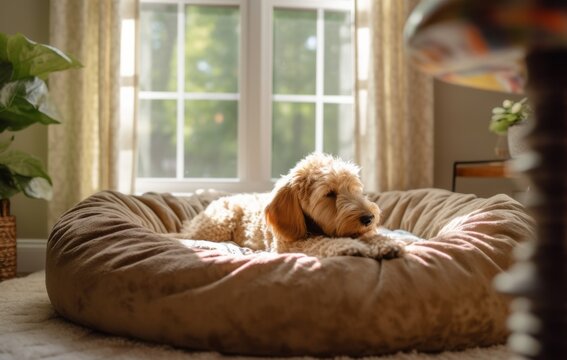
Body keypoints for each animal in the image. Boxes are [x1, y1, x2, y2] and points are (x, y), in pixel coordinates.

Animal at [178, 152, 408, 258]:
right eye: (329, 194)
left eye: (354, 189)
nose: (369, 218)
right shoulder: (288, 245)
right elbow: (319, 242)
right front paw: (347, 246)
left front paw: (385, 242)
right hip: (218, 225)